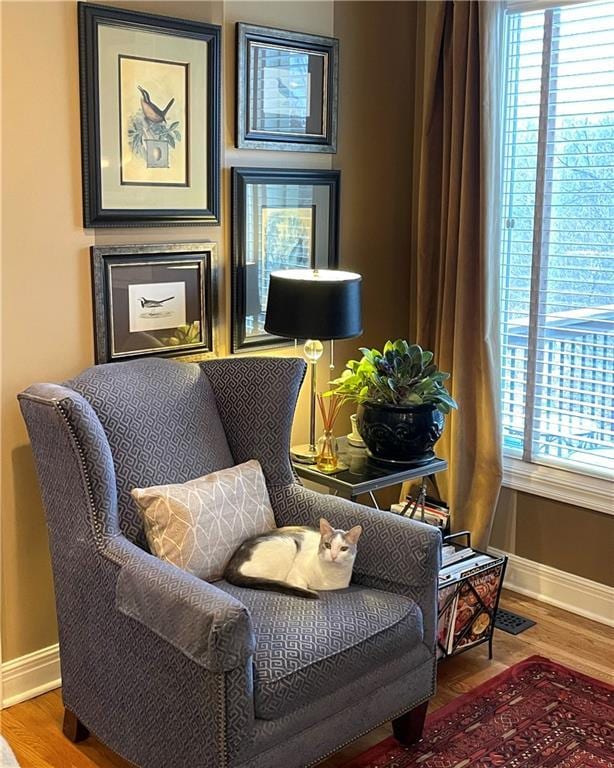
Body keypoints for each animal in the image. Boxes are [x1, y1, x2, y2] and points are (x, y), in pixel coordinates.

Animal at [225, 516, 360, 600]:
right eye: (328, 545)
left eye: (343, 549)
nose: (333, 556)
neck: (329, 576)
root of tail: (231, 565)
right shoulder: (296, 574)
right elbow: (300, 584)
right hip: (289, 544)